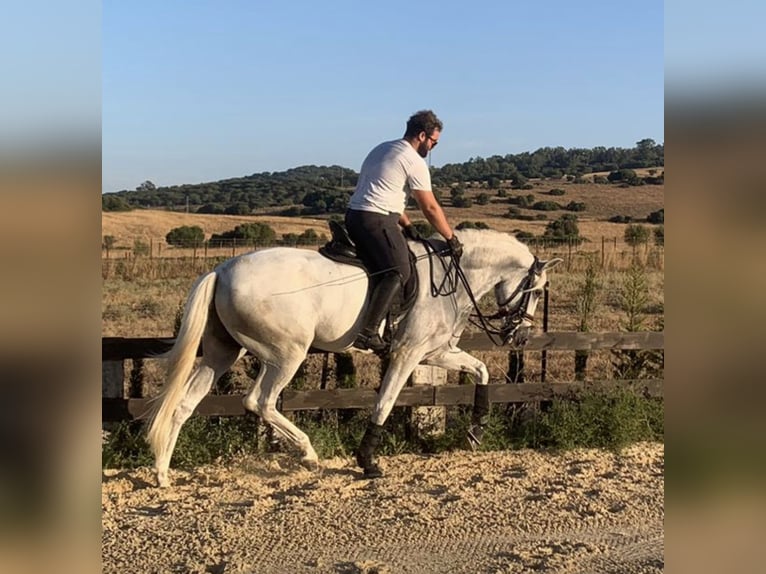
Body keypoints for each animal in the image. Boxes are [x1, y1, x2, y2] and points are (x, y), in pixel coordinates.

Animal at [146, 228, 562, 486]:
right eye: (537, 291)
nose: (520, 336)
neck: (452, 277)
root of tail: (221, 268)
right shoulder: (407, 353)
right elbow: (385, 403)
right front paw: (367, 461)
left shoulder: (436, 352)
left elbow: (481, 371)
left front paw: (476, 430)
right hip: (286, 353)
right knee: (260, 401)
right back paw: (309, 454)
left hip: (222, 352)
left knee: (184, 405)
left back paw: (163, 474)